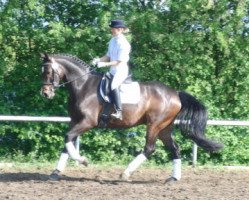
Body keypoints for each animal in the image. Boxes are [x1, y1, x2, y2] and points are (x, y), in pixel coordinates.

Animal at [40, 53, 223, 183]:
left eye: (48, 71)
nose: (45, 93)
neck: (83, 85)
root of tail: (175, 94)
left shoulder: (87, 122)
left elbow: (68, 137)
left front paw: (83, 161)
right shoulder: (75, 121)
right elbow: (67, 142)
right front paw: (55, 173)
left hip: (154, 125)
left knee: (149, 148)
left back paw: (125, 173)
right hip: (164, 128)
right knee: (175, 149)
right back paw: (173, 178)